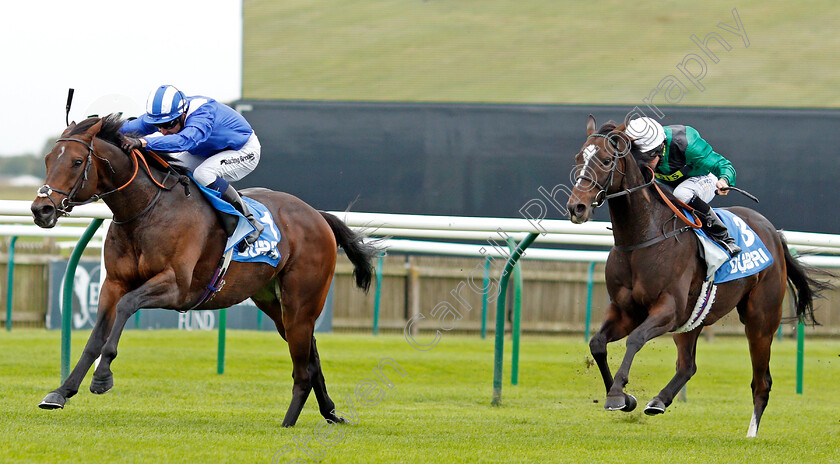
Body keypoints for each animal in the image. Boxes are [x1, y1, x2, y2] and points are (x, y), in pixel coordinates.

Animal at [29, 115, 378, 428]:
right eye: (48, 159)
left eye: (76, 162)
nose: (40, 209)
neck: (146, 209)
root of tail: (318, 215)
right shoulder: (114, 283)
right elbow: (96, 335)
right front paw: (61, 392)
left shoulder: (176, 286)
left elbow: (127, 307)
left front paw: (102, 377)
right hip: (274, 302)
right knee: (310, 353)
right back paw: (330, 412)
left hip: (302, 302)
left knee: (303, 366)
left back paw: (289, 423)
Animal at [560, 114, 832, 436]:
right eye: (578, 158)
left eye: (604, 160)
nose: (576, 207)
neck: (642, 239)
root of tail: (773, 233)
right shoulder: (625, 310)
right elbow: (597, 344)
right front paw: (625, 398)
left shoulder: (668, 309)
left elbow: (636, 339)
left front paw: (617, 394)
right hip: (693, 318)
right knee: (688, 365)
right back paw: (659, 401)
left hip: (760, 319)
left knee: (761, 381)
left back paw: (751, 434)